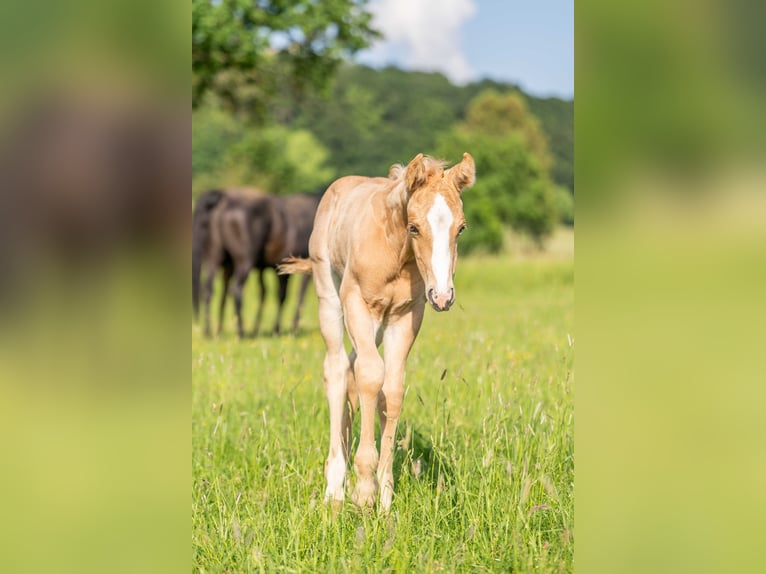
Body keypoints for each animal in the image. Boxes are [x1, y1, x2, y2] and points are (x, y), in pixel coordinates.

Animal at [192, 188, 318, 338]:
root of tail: (224, 197)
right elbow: (287, 296)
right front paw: (282, 329)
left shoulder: (262, 268)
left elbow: (264, 293)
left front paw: (257, 329)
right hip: (243, 262)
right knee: (236, 289)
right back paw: (240, 333)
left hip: (216, 259)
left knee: (210, 290)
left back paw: (212, 332)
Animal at [279, 152, 475, 509]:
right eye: (414, 226)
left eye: (461, 228)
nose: (442, 297)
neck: (395, 251)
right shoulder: (357, 303)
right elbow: (371, 375)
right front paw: (364, 490)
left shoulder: (405, 316)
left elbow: (392, 389)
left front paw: (384, 495)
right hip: (331, 298)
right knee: (337, 369)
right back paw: (335, 489)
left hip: (379, 326)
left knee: (352, 371)